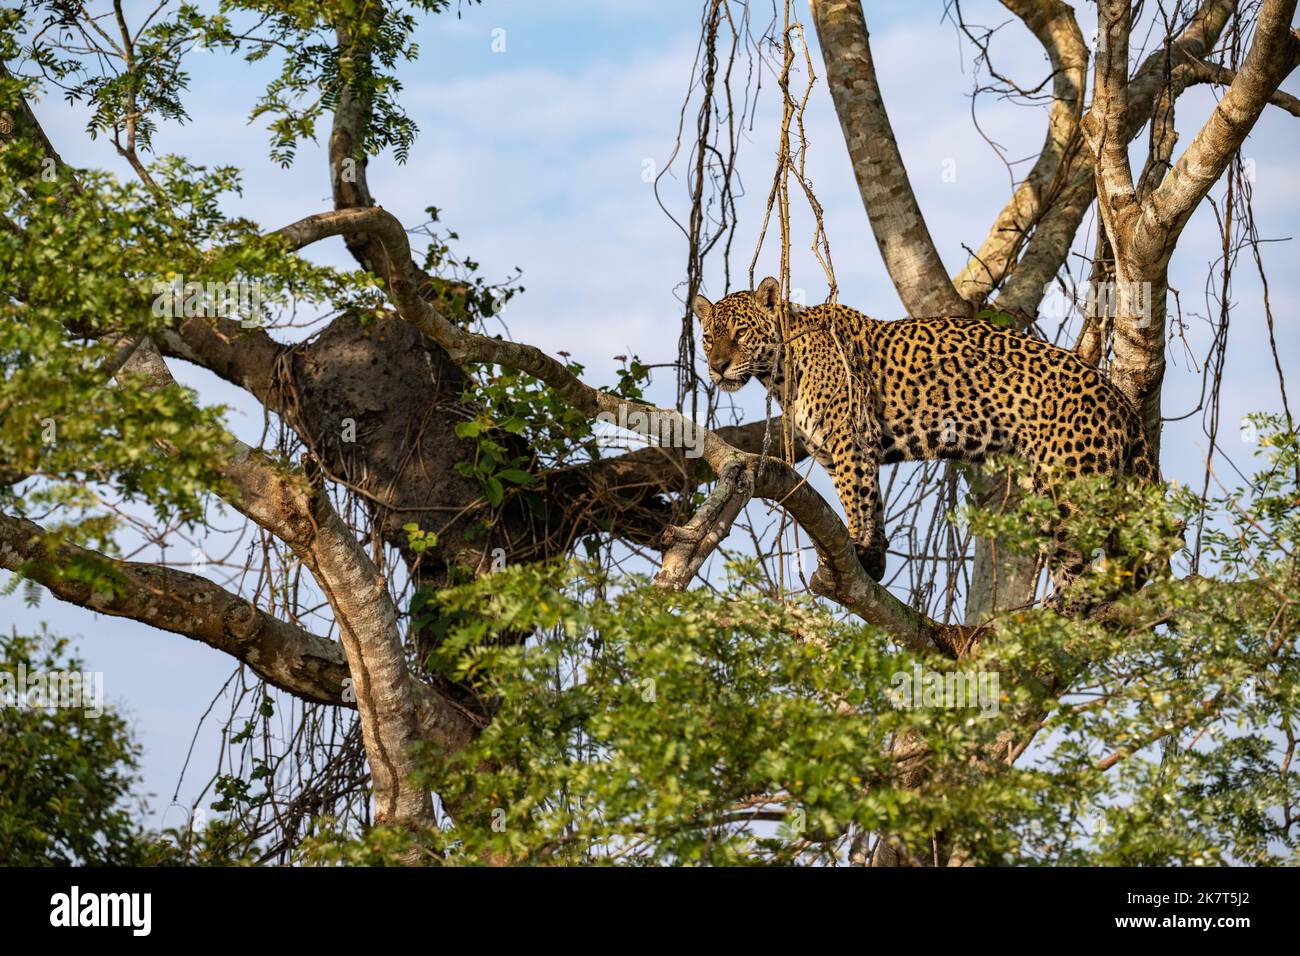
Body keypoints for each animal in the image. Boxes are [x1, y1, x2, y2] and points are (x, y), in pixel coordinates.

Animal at [693, 276, 1158, 592]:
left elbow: (856, 497)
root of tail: (1116, 395)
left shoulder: (849, 440)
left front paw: (857, 548)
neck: (781, 372)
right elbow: (871, 499)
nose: (716, 366)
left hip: (1068, 488)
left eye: (740, 333)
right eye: (708, 337)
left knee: (1081, 569)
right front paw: (874, 560)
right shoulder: (838, 452)